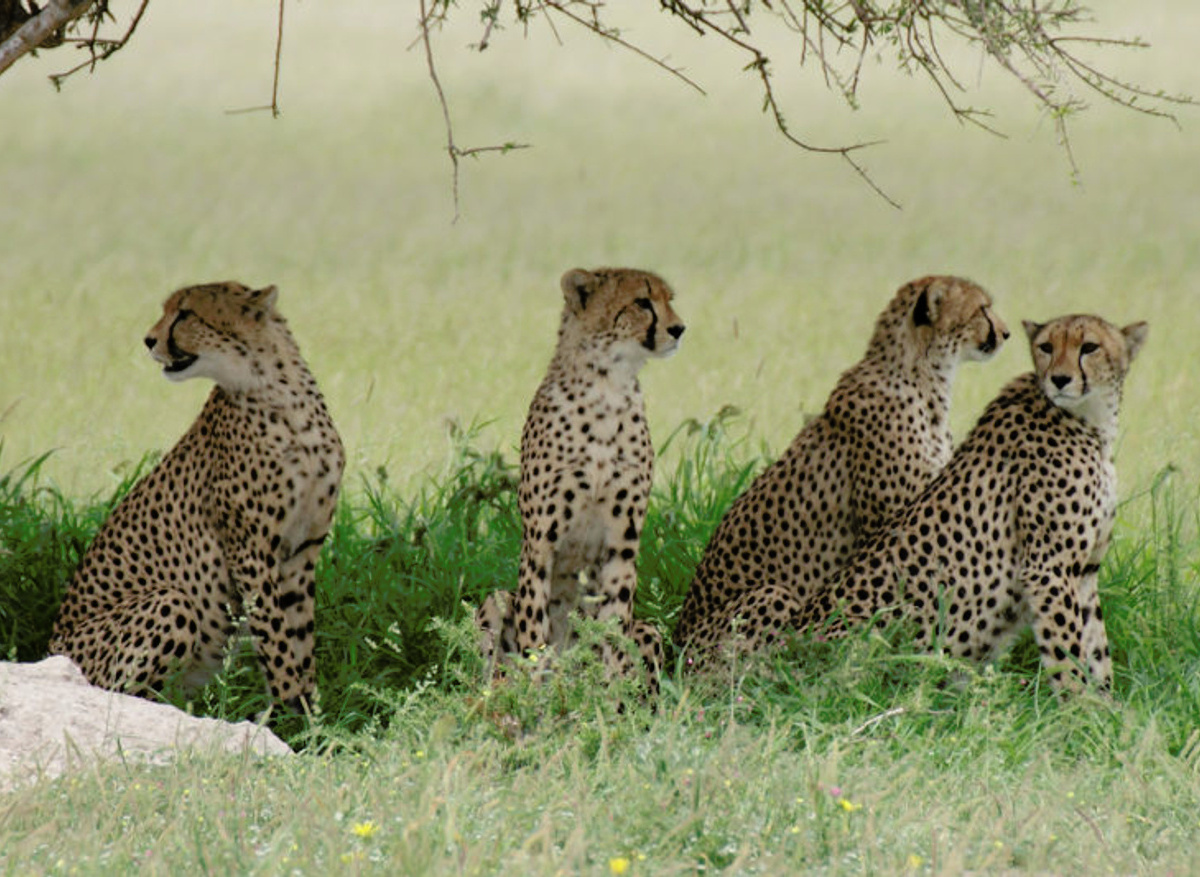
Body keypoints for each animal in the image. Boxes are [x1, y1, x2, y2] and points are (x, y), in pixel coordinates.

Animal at [50, 281, 344, 709]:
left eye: (185, 313)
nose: (148, 339)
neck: (277, 391)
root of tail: (52, 651)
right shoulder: (251, 550)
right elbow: (275, 639)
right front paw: (291, 711)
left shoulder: (302, 551)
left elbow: (300, 640)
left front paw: (312, 713)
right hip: (168, 602)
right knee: (119, 697)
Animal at [475, 267, 685, 693]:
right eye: (642, 302)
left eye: (669, 299)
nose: (679, 328)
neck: (608, 389)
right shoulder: (540, 541)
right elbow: (534, 627)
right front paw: (538, 691)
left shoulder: (623, 541)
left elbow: (613, 627)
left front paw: (605, 694)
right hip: (496, 600)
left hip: (649, 630)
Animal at [675, 275, 1008, 661]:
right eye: (982, 309)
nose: (1006, 332)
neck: (924, 377)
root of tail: (675, 643)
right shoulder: (893, 527)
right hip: (772, 595)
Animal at [727, 313, 1147, 691]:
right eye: (1046, 347)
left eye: (1089, 347)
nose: (1059, 379)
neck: (1091, 422)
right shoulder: (1049, 569)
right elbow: (1068, 655)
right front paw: (1081, 710)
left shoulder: (1084, 572)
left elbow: (1097, 651)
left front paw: (1107, 713)